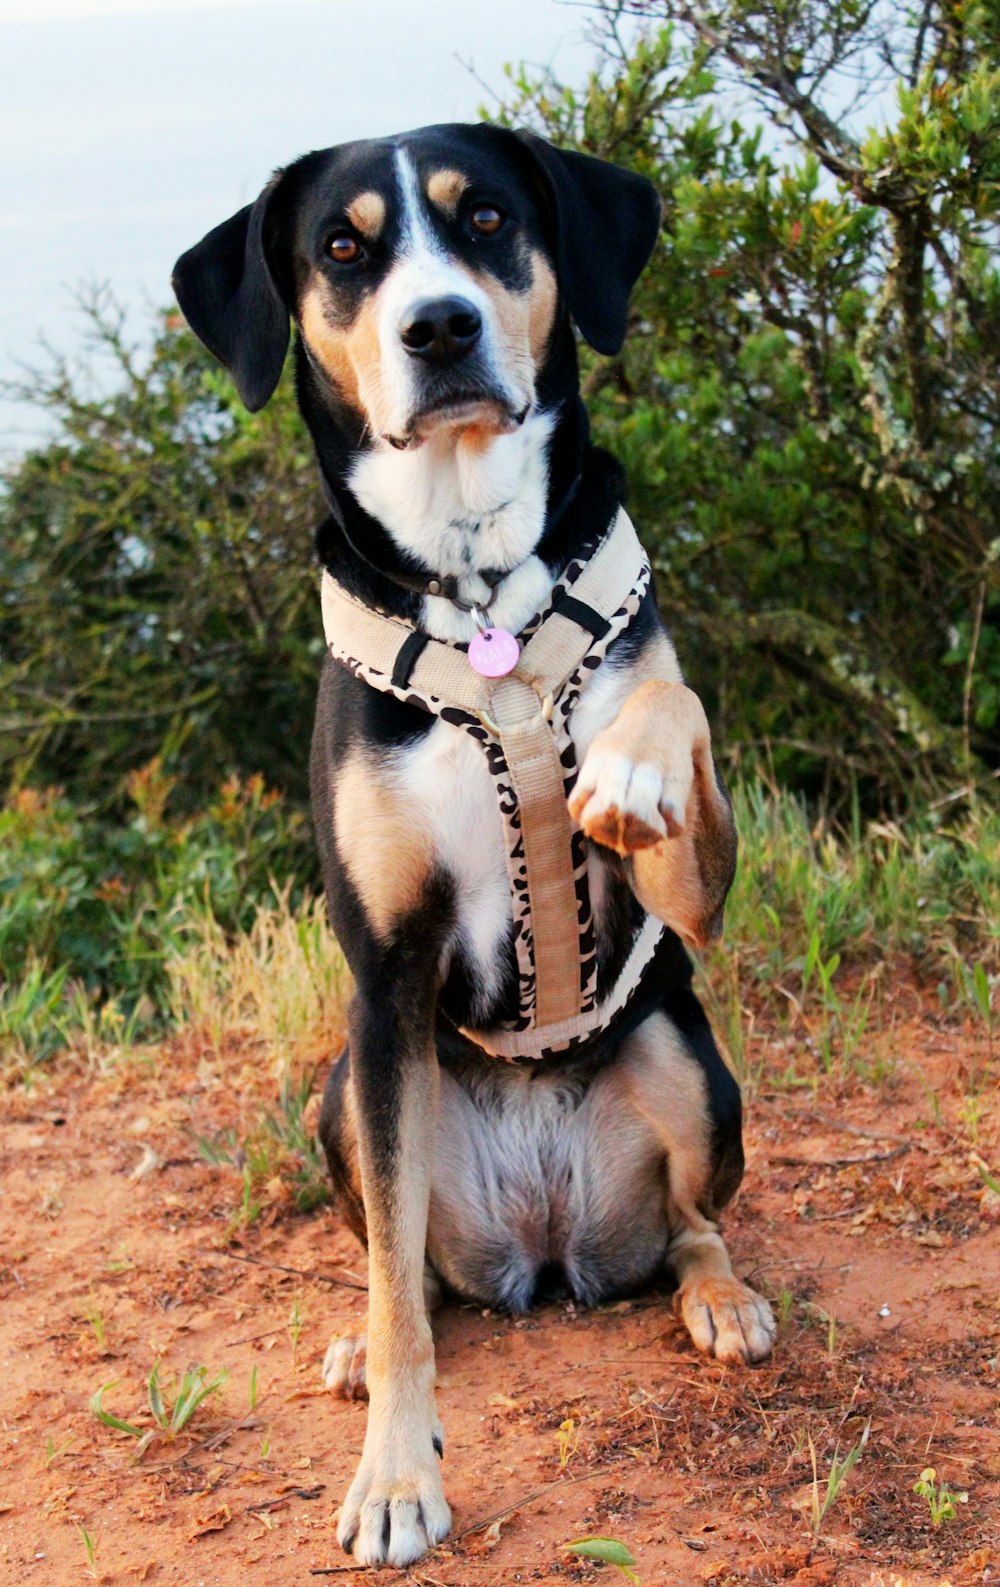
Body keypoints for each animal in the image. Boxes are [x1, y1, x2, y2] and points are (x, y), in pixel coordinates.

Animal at [176, 120, 780, 1561]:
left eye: (490, 217)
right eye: (342, 247)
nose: (439, 326)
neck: (480, 589)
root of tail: (547, 1247)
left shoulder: (695, 884)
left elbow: (671, 705)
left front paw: (625, 761)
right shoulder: (386, 975)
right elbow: (399, 1294)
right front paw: (397, 1479)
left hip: (686, 1055)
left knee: (691, 1224)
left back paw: (719, 1295)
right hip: (348, 1089)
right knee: (410, 1271)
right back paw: (363, 1337)